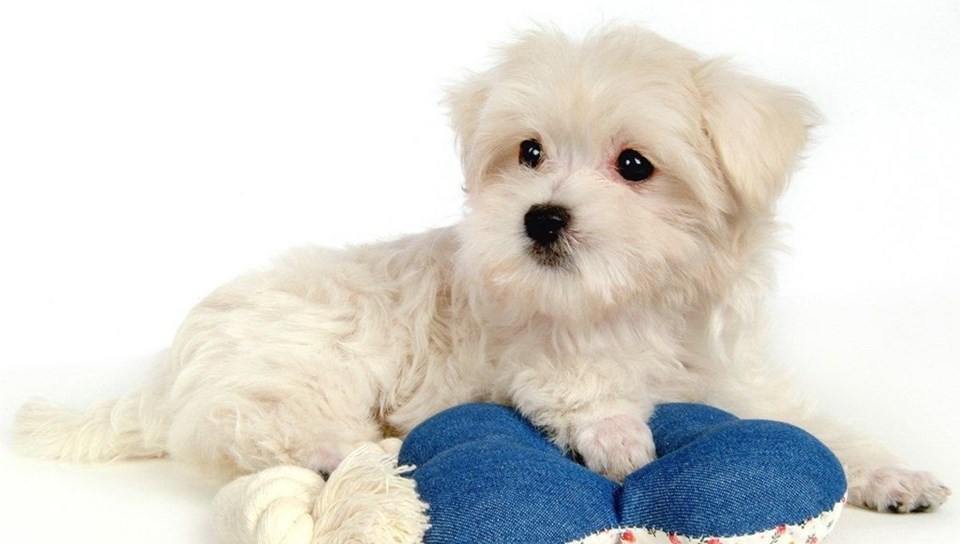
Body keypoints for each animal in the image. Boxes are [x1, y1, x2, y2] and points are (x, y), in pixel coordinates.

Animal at [13, 25, 949, 514]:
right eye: (529, 153)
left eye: (635, 166)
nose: (540, 217)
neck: (633, 305)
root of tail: (166, 370)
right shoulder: (519, 355)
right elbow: (572, 384)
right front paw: (622, 435)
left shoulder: (732, 377)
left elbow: (818, 427)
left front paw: (891, 474)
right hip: (303, 358)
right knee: (235, 424)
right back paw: (342, 446)